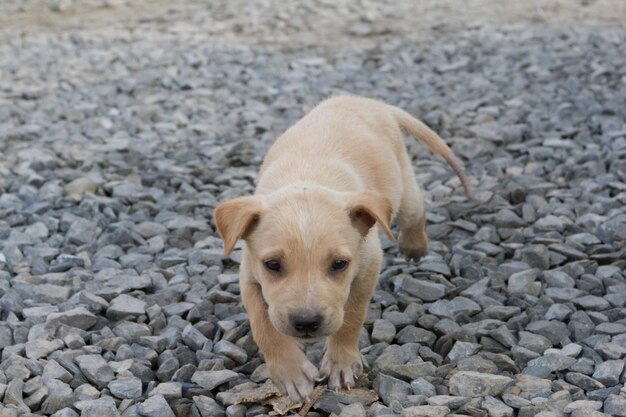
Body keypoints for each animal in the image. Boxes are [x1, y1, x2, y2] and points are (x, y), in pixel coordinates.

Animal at [213, 96, 468, 402]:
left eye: (339, 264)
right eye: (273, 264)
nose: (306, 323)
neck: (306, 179)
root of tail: (370, 102)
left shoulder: (368, 265)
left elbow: (352, 316)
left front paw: (340, 363)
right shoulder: (249, 274)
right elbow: (263, 324)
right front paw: (290, 372)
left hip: (404, 192)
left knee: (416, 212)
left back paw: (414, 246)